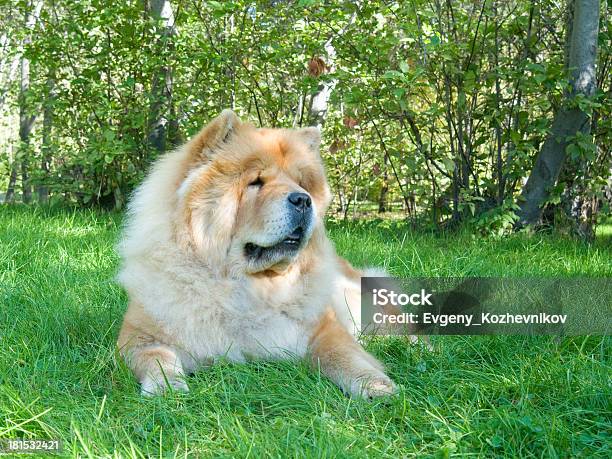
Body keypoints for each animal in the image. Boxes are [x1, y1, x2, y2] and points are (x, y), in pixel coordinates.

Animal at [116, 111, 396, 398]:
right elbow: (157, 356)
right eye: (256, 182)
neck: (252, 287)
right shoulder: (139, 333)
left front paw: (374, 385)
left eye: (301, 183)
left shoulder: (325, 329)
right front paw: (167, 387)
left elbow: (343, 354)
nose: (303, 199)